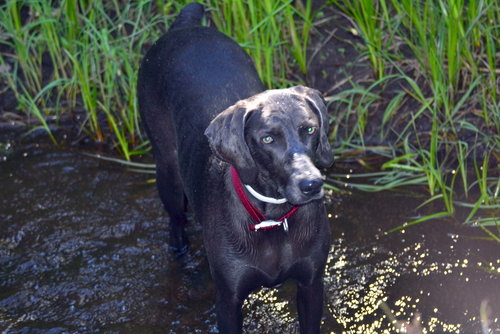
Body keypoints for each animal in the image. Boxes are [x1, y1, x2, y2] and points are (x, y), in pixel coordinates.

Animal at [137, 3, 334, 334]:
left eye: (309, 129)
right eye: (267, 138)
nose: (311, 185)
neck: (273, 218)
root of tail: (184, 26)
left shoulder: (311, 285)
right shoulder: (228, 300)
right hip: (168, 173)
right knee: (176, 227)